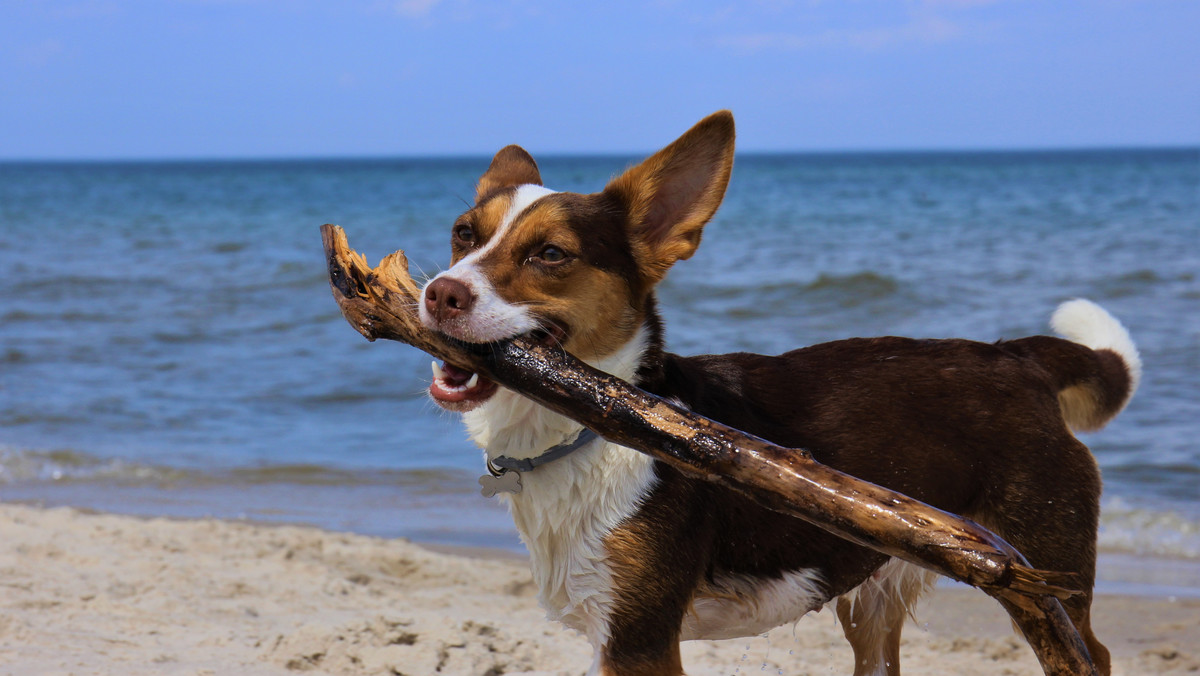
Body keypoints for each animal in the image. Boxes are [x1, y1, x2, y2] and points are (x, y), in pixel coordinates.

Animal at [417, 112, 1137, 676]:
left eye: (551, 255)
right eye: (462, 234)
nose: (438, 294)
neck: (588, 424)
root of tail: (1018, 356)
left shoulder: (638, 640)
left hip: (1047, 575)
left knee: (1091, 654)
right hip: (876, 599)